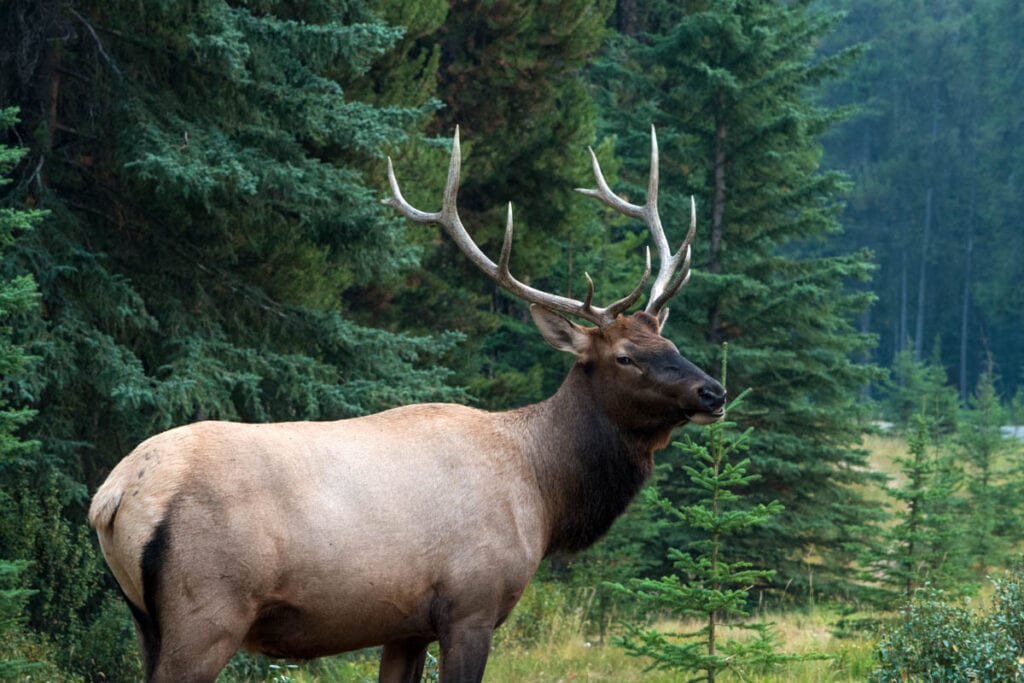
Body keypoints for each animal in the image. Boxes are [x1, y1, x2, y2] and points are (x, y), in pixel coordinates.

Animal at [90, 125, 729, 679]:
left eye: (670, 341)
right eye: (624, 356)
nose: (713, 391)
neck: (544, 494)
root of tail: (114, 495)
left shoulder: (405, 625)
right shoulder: (471, 604)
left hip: (147, 621)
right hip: (209, 610)